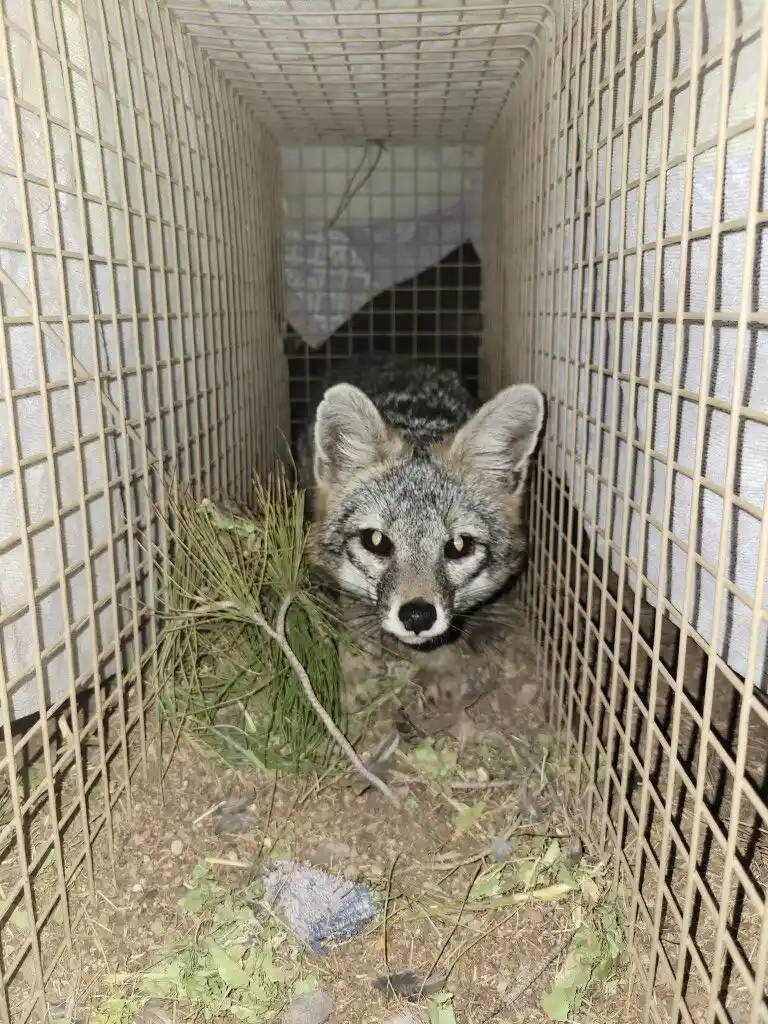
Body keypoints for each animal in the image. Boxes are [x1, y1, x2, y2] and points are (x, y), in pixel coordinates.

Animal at [297, 353, 546, 711]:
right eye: (376, 541)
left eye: (459, 545)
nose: (417, 617)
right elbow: (355, 617)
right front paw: (355, 671)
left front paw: (438, 664)